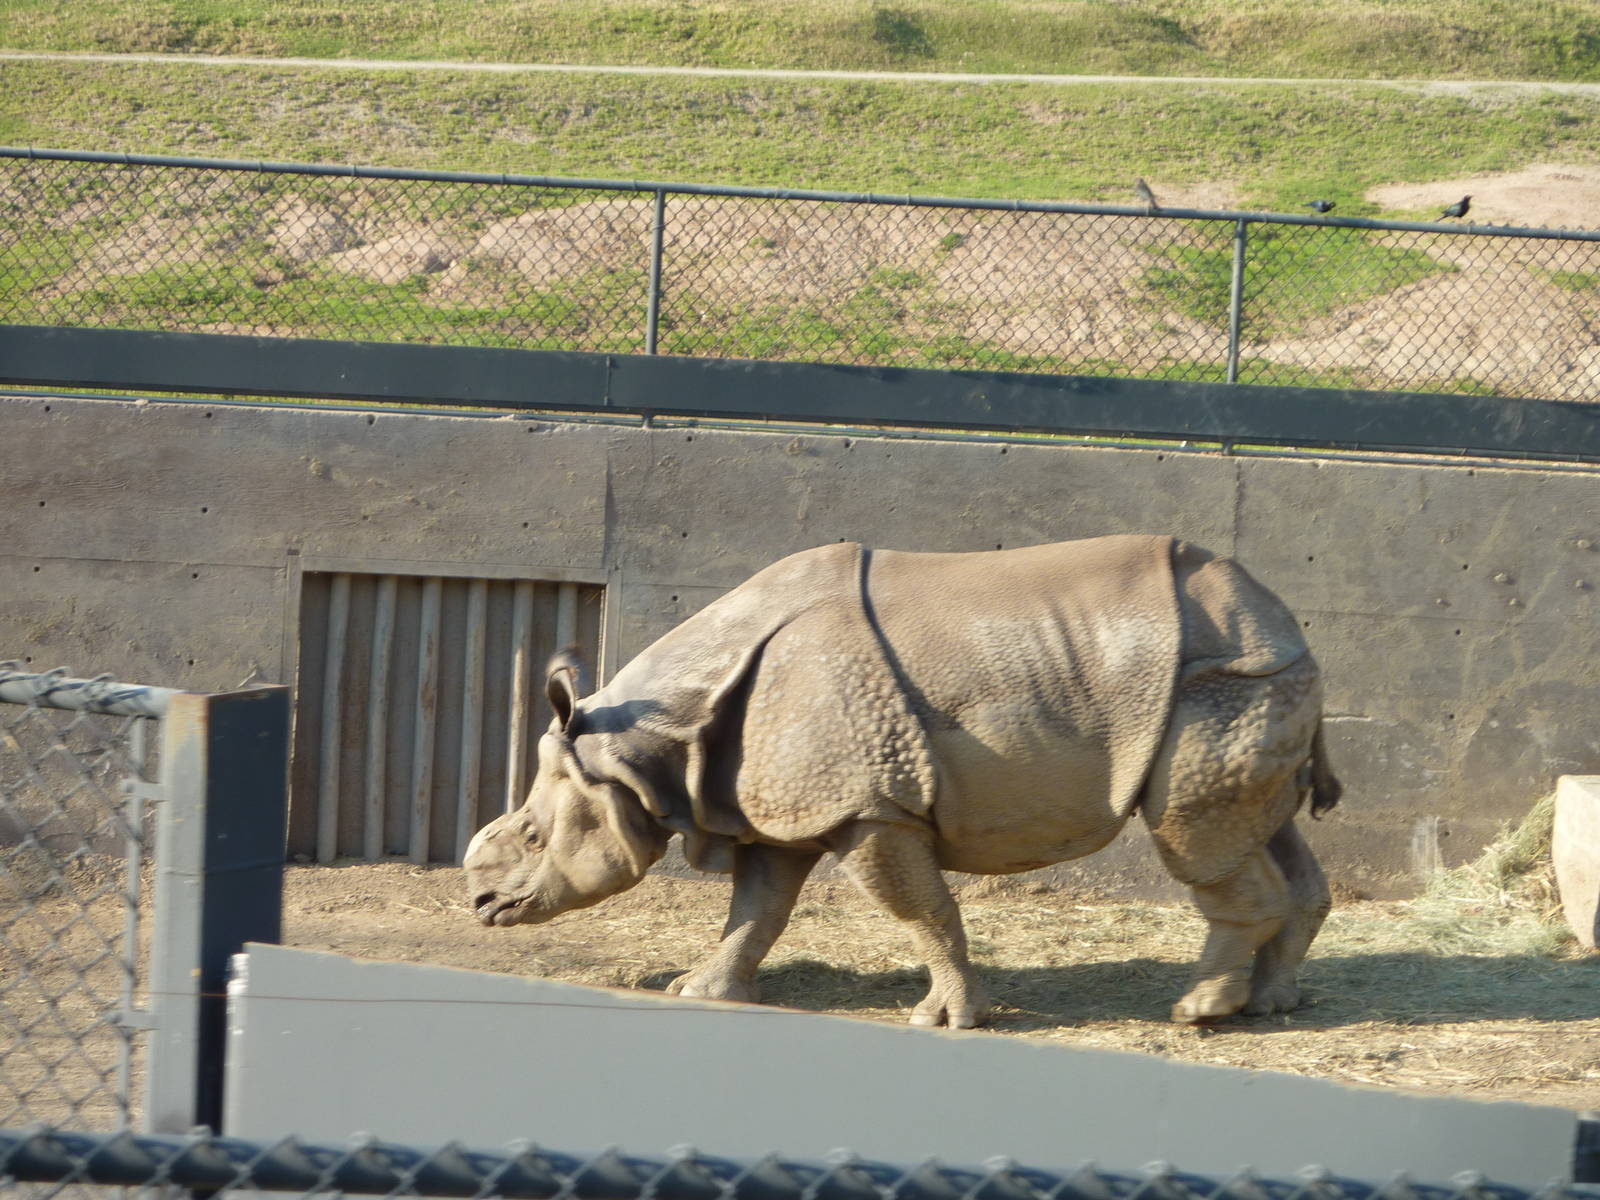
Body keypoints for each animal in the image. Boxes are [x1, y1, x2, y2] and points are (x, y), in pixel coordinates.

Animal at [466, 535, 1340, 1027]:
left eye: (534, 835)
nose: (479, 904)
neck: (651, 741)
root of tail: (1282, 617)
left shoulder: (867, 806)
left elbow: (921, 910)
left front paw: (945, 1020)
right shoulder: (788, 802)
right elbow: (758, 909)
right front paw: (698, 992)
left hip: (1217, 679)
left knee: (1193, 837)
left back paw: (1199, 1013)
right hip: (1253, 678)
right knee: (1257, 829)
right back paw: (1272, 1004)